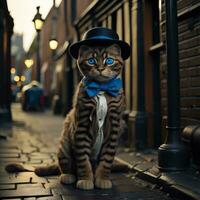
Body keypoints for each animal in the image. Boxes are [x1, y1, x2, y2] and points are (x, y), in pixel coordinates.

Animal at [6, 43, 128, 191]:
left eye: (109, 60)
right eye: (91, 61)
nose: (100, 68)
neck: (101, 89)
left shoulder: (114, 128)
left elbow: (106, 160)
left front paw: (102, 179)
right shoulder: (82, 126)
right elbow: (83, 160)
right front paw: (85, 179)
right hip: (64, 145)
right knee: (65, 167)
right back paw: (68, 176)